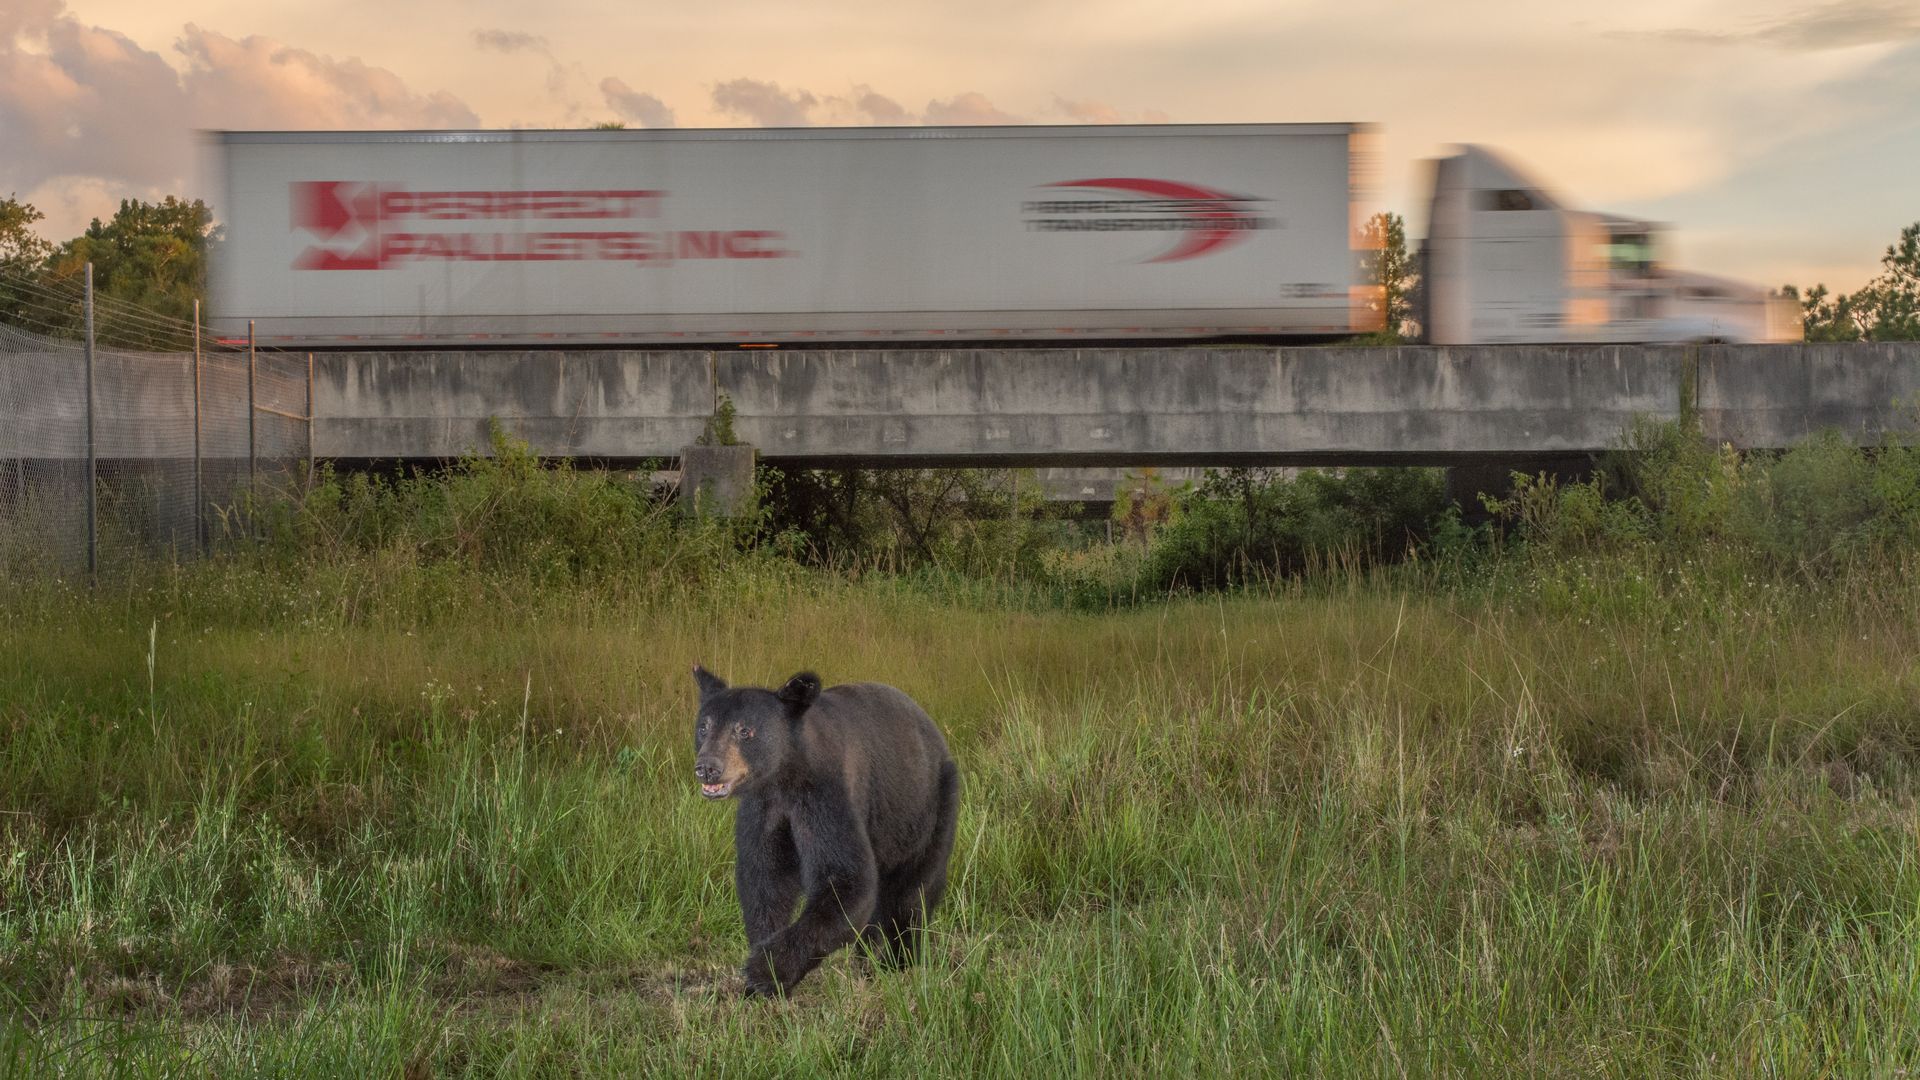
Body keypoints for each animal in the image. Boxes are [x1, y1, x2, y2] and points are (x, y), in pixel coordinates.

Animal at [691, 665, 960, 997]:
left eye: (744, 730)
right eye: (704, 726)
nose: (708, 768)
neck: (786, 774)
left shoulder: (826, 795)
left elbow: (846, 878)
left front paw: (765, 970)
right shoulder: (763, 807)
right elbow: (764, 877)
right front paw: (760, 974)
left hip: (929, 809)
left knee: (913, 895)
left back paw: (900, 962)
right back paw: (868, 959)